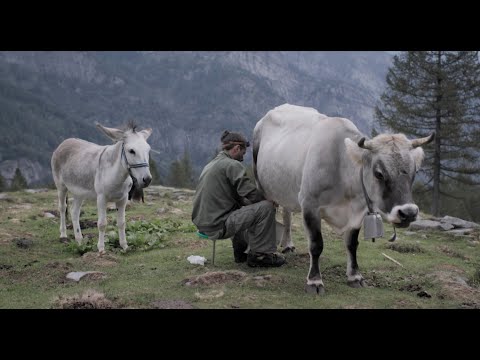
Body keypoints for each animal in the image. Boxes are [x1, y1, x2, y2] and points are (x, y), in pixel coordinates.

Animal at [253, 104, 436, 296]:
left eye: (415, 171)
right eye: (379, 173)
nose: (408, 213)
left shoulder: (358, 212)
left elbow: (352, 244)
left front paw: (355, 276)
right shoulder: (310, 205)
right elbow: (316, 244)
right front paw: (314, 281)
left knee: (287, 213)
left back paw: (288, 245)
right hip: (260, 184)